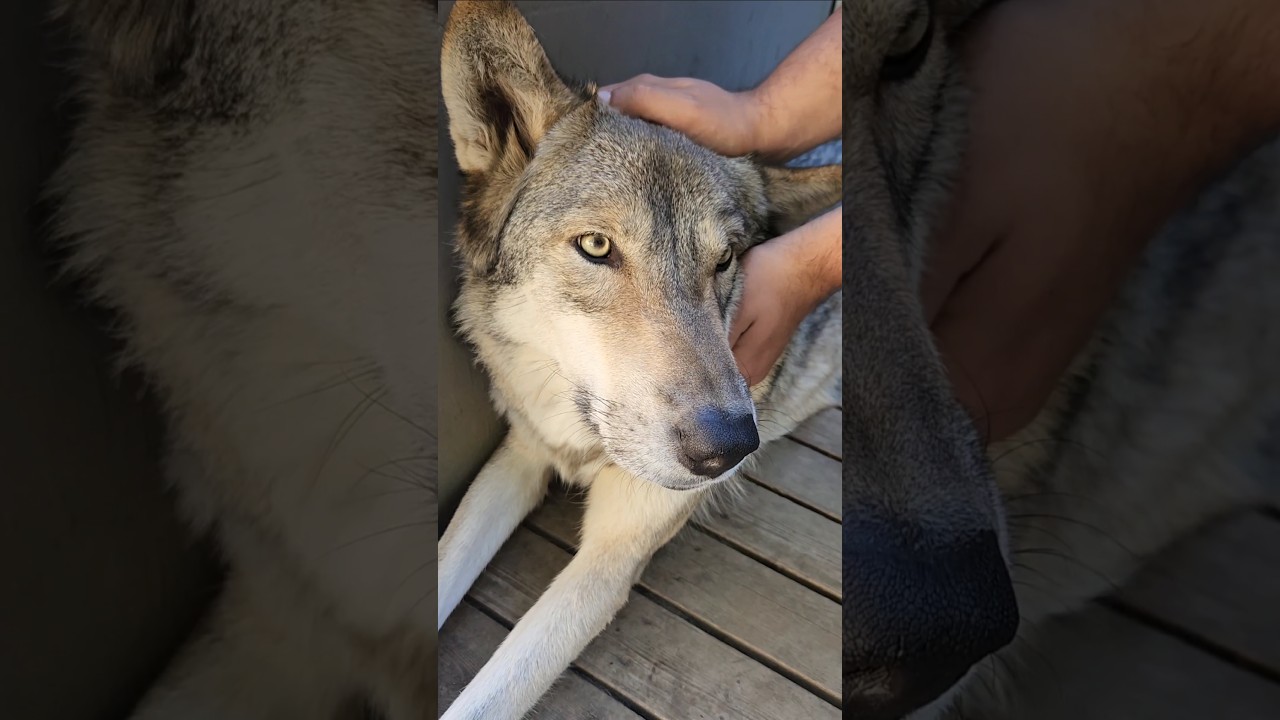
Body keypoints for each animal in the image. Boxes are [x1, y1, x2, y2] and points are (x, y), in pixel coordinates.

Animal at [436, 1, 842, 718]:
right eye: (597, 247)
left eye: (726, 259)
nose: (729, 449)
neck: (583, 445)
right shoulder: (519, 455)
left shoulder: (609, 558)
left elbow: (487, 700)